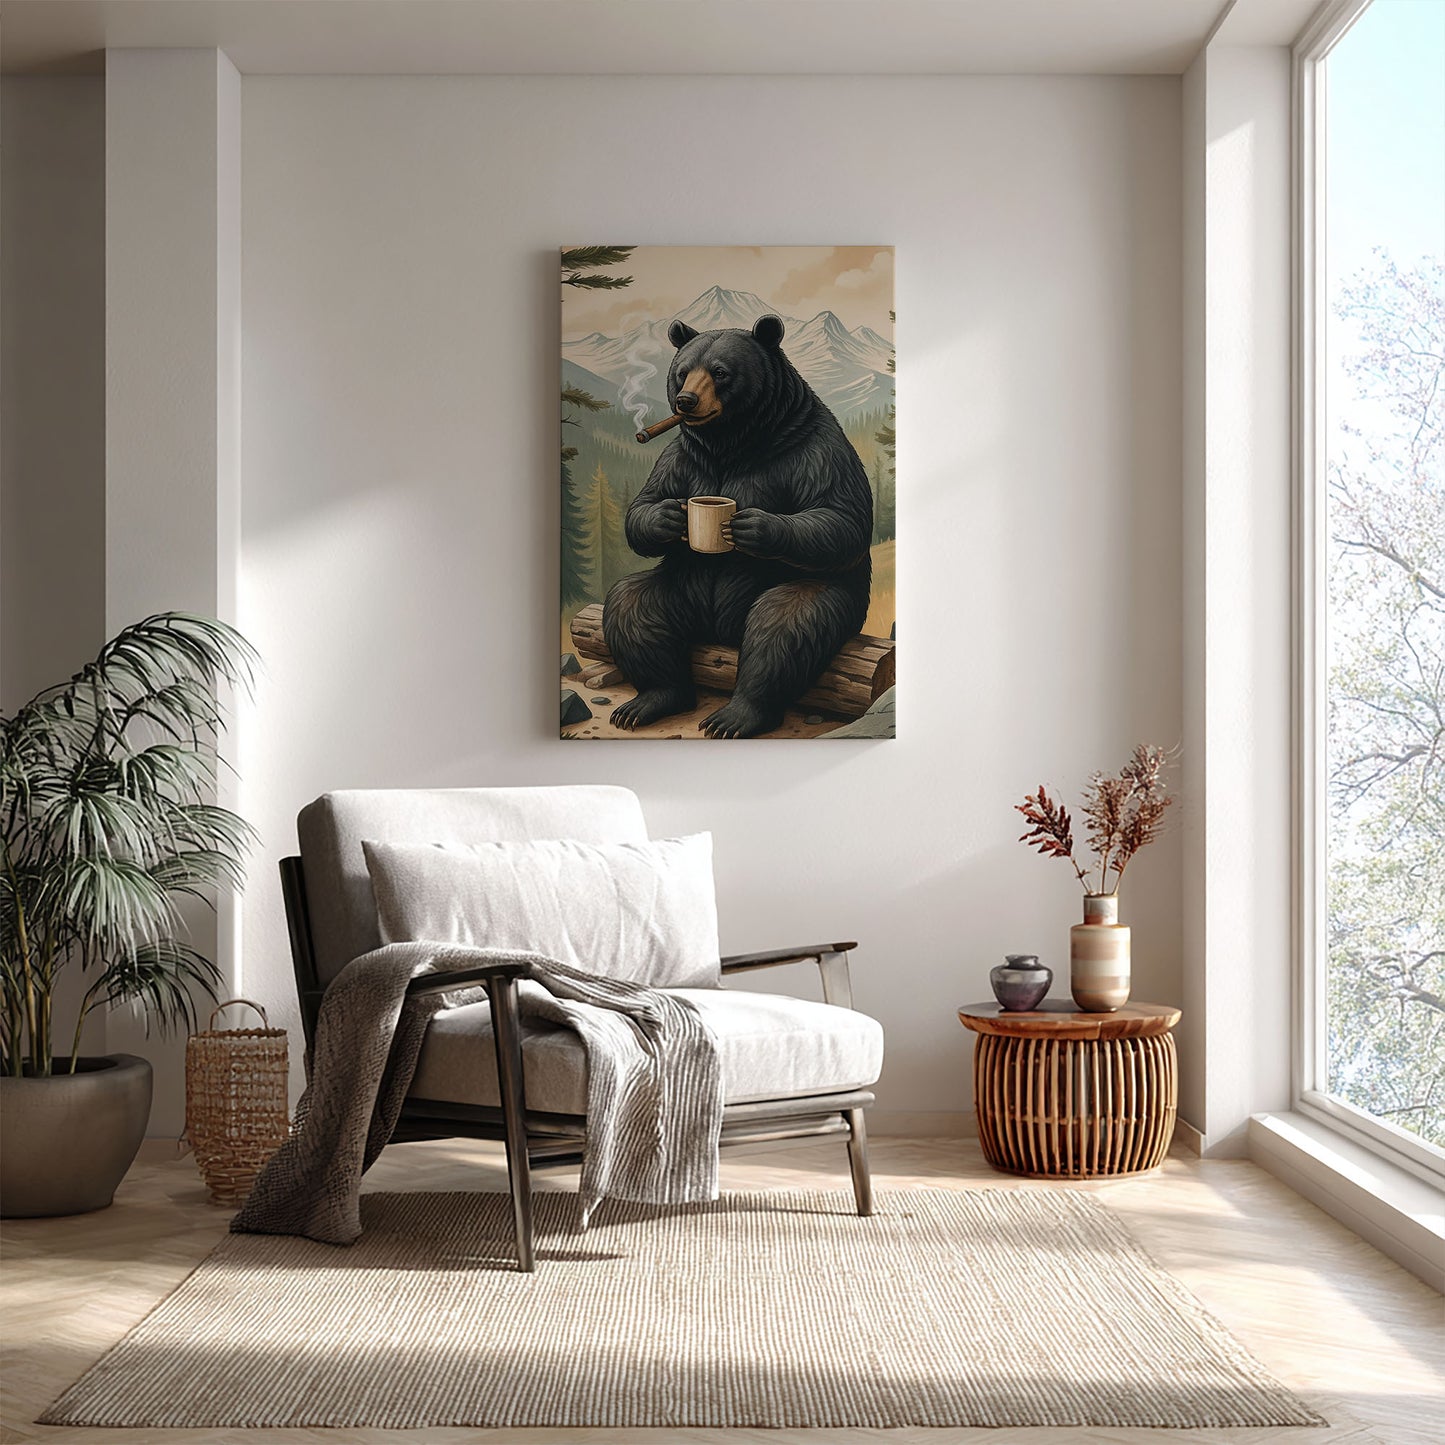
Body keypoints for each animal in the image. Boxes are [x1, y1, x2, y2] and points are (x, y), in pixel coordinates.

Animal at [602, 314, 873, 739]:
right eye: (682, 372)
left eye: (720, 372)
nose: (685, 401)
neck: (730, 442)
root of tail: (718, 633)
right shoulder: (682, 457)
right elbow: (646, 503)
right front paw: (669, 516)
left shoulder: (813, 450)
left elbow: (841, 517)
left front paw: (755, 527)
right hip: (682, 584)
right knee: (632, 606)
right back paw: (649, 700)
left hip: (826, 592)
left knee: (785, 625)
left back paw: (735, 716)